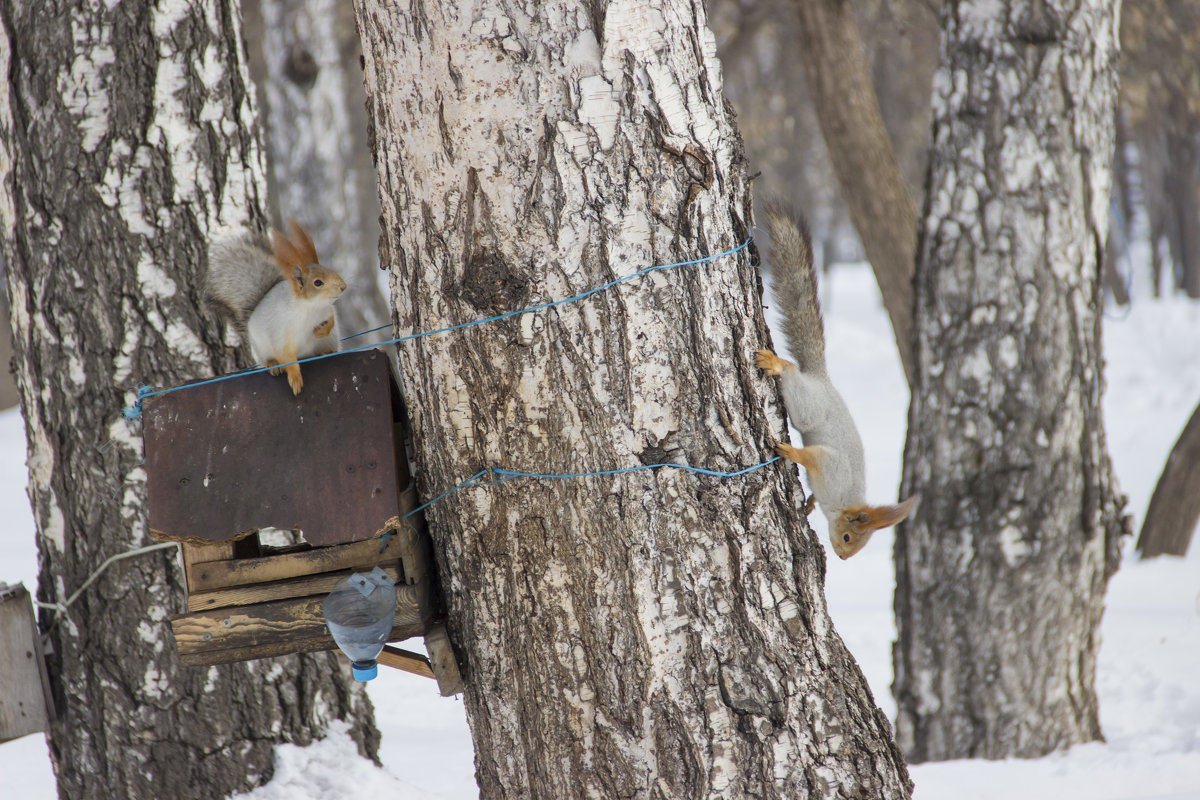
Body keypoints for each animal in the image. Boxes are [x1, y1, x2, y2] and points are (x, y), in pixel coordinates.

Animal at [205, 217, 348, 395]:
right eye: (318, 282)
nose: (343, 287)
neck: (311, 308)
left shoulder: (327, 311)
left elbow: (331, 320)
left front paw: (321, 331)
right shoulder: (281, 332)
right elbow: (286, 356)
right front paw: (295, 378)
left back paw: (325, 351)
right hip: (261, 348)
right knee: (270, 359)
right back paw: (272, 364)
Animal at [753, 200, 912, 561]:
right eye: (850, 537)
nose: (841, 556)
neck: (841, 501)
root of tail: (821, 380)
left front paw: (809, 504)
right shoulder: (832, 466)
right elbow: (813, 457)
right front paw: (792, 453)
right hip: (807, 405)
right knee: (792, 377)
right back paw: (776, 363)